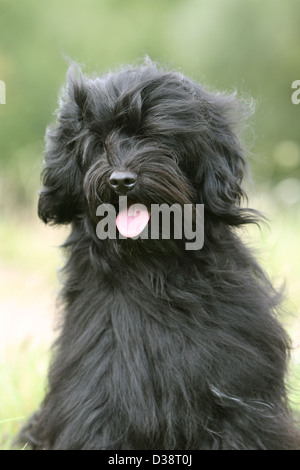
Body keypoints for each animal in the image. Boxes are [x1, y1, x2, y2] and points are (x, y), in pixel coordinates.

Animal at [19, 60, 300, 450]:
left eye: (157, 136)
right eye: (99, 141)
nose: (121, 180)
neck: (150, 268)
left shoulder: (240, 400)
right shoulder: (95, 399)